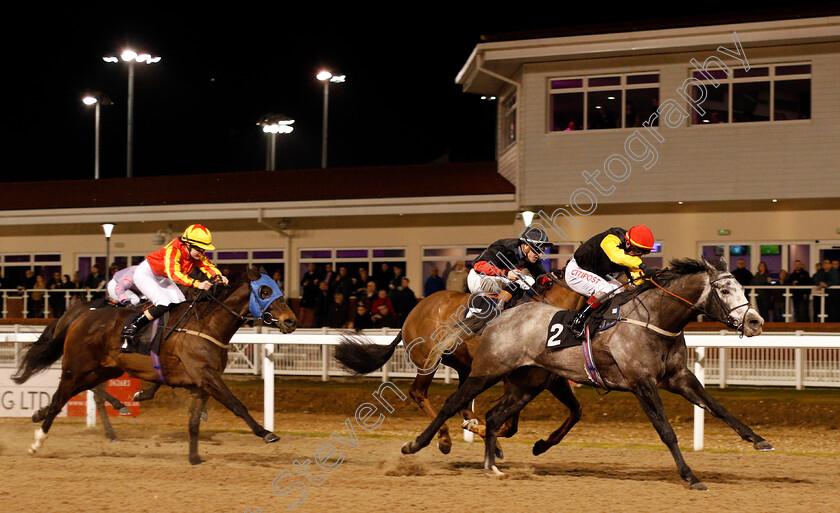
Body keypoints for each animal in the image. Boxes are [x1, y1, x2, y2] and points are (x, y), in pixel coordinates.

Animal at [12, 268, 296, 464]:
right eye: (265, 291)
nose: (291, 321)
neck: (206, 325)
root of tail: (79, 317)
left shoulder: (201, 382)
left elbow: (194, 420)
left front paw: (195, 458)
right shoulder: (207, 375)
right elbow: (237, 405)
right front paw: (266, 433)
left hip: (104, 368)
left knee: (82, 393)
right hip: (76, 367)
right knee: (61, 398)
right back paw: (38, 441)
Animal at [334, 272, 584, 452]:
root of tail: (412, 312)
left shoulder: (552, 378)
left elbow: (576, 411)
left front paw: (542, 444)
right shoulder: (512, 377)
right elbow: (510, 424)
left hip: (463, 365)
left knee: (460, 402)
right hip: (428, 361)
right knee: (419, 393)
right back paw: (444, 438)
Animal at [400, 258, 776, 490]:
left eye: (742, 288)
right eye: (724, 290)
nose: (756, 322)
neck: (654, 318)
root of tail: (501, 315)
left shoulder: (678, 377)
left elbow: (718, 407)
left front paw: (759, 440)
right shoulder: (642, 383)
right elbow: (667, 432)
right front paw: (690, 476)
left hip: (527, 383)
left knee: (494, 416)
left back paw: (492, 465)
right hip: (488, 370)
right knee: (451, 402)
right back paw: (420, 443)